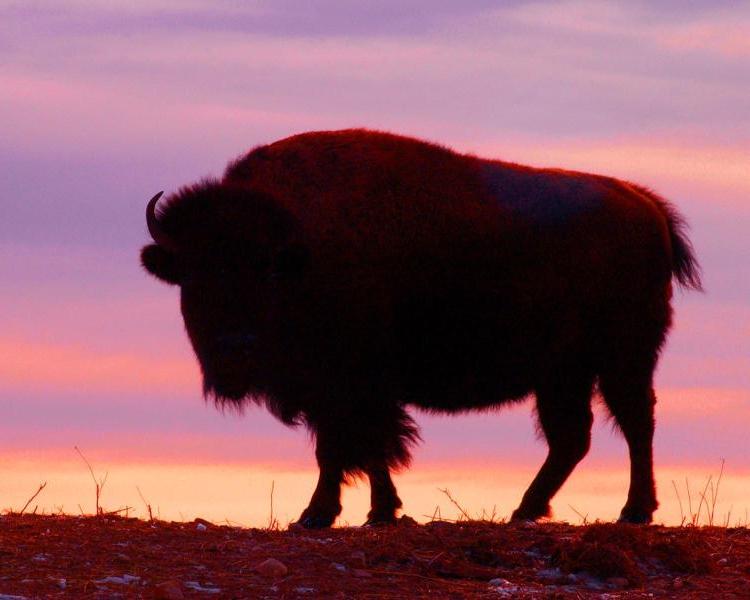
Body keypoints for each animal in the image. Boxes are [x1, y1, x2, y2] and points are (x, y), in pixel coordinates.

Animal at [142, 129, 704, 528]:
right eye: (193, 273)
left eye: (265, 271)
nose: (236, 349)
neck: (303, 251)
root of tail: (646, 204)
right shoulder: (343, 391)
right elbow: (360, 449)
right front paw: (377, 511)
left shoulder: (349, 385)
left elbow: (346, 448)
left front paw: (321, 516)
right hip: (563, 374)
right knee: (573, 437)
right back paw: (524, 510)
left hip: (622, 359)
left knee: (635, 423)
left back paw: (633, 511)